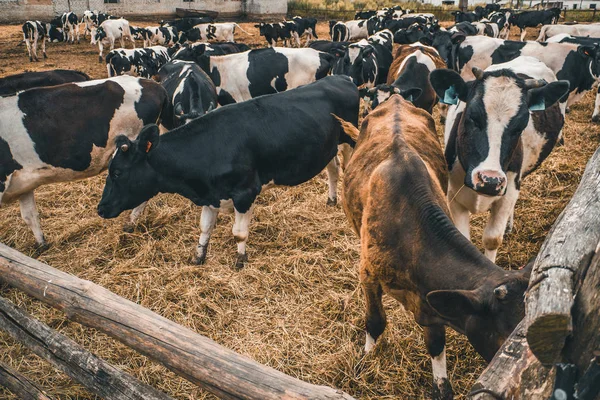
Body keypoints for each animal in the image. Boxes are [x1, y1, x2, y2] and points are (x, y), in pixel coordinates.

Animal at [96, 75, 358, 268]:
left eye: (117, 172)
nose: (101, 208)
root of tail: (341, 77)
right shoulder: (210, 194)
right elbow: (205, 227)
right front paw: (198, 257)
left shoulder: (245, 192)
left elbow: (239, 232)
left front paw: (240, 260)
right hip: (328, 147)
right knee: (334, 169)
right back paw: (331, 199)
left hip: (352, 140)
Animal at [340, 95, 532, 398]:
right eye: (506, 341)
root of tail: (396, 97)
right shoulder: (368, 274)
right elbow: (375, 321)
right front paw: (366, 360)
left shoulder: (431, 301)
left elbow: (436, 344)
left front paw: (441, 384)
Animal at [428, 57, 568, 262]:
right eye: (472, 116)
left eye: (521, 125)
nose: (490, 180)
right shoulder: (453, 195)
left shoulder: (508, 191)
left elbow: (492, 239)